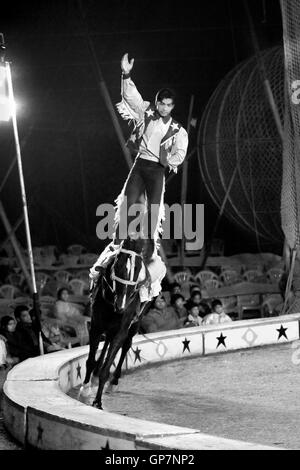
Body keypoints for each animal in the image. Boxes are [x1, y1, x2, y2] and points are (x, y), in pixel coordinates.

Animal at [80, 237, 152, 410]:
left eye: (138, 269)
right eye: (118, 265)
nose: (121, 306)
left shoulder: (122, 329)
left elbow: (108, 365)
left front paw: (98, 401)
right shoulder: (96, 326)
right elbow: (90, 360)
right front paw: (85, 390)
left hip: (135, 323)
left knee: (125, 346)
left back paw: (113, 381)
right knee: (107, 341)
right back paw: (94, 375)